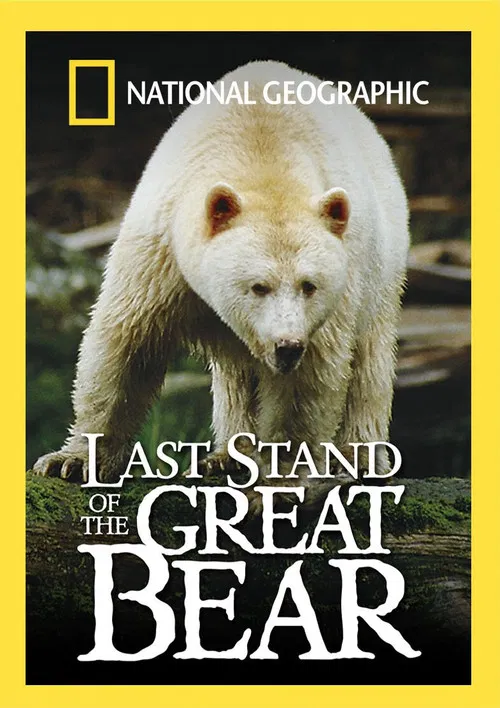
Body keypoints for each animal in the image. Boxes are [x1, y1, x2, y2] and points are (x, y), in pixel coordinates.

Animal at [33, 60, 409, 484]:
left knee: (369, 362)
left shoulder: (330, 307)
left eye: (309, 285)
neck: (262, 157)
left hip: (381, 269)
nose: (287, 346)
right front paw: (72, 460)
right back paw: (229, 455)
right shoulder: (161, 254)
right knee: (237, 376)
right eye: (258, 286)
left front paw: (281, 475)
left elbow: (306, 383)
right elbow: (126, 348)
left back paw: (358, 459)